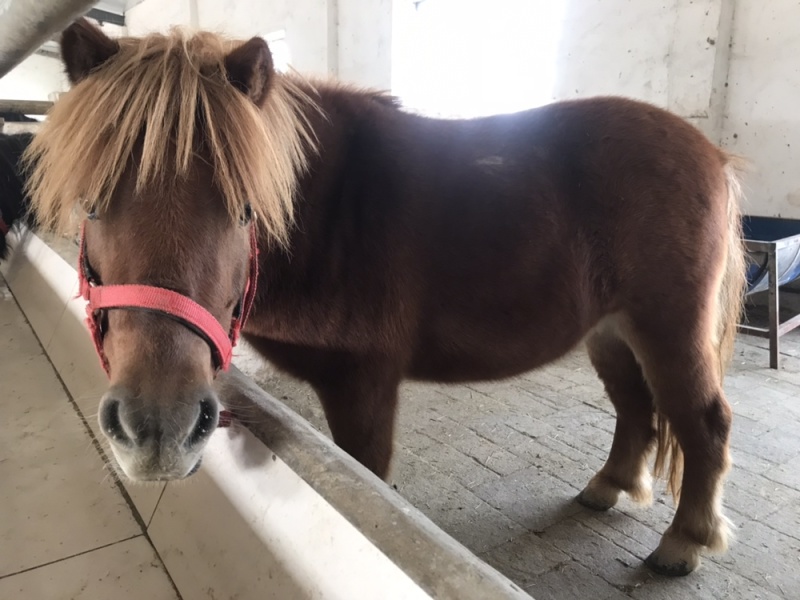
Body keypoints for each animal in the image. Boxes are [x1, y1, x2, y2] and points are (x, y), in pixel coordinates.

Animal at [25, 18, 746, 577]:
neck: (332, 211)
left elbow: (368, 479)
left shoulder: (363, 384)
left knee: (703, 422)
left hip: (668, 327)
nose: (157, 430)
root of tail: (710, 154)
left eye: (245, 209)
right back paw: (608, 487)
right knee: (635, 407)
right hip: (610, 330)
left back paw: (682, 544)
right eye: (92, 202)